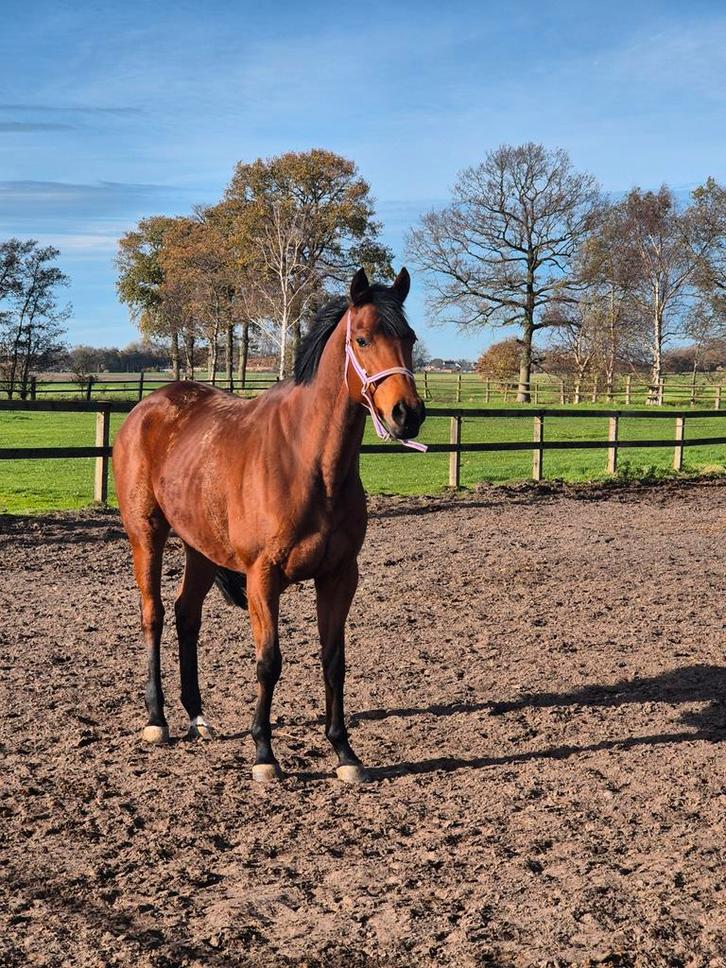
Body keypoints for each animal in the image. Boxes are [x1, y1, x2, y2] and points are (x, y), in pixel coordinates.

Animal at [112, 267, 426, 783]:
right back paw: (157, 720)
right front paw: (264, 754)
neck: (308, 462)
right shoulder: (263, 576)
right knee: (153, 615)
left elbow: (334, 661)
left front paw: (345, 753)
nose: (408, 414)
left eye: (410, 338)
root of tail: (147, 407)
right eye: (362, 339)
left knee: (186, 614)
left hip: (200, 547)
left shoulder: (340, 575)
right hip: (147, 535)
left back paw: (197, 716)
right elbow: (269, 662)